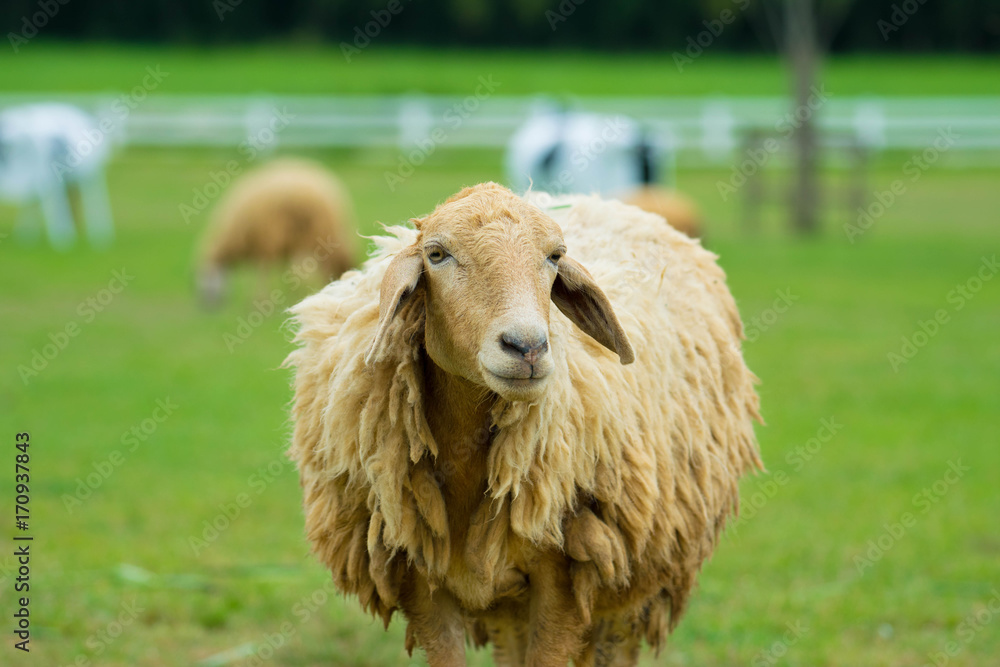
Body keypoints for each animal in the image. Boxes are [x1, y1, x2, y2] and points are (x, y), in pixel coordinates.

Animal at [286, 183, 760, 667]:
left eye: (554, 256)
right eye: (436, 254)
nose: (526, 346)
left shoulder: (567, 573)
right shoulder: (418, 578)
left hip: (630, 584)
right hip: (509, 603)